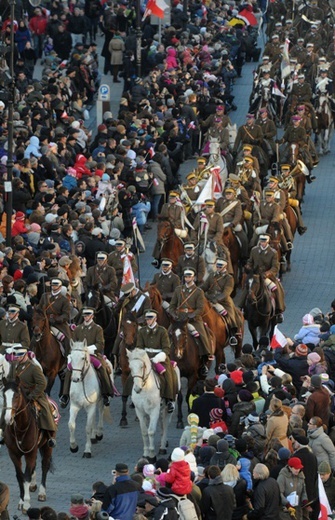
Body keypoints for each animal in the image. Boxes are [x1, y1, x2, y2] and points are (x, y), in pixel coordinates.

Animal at [3, 378, 53, 512]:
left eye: (16, 395)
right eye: (3, 395)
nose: (8, 418)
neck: (20, 428)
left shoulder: (30, 452)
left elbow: (26, 476)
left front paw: (26, 503)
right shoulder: (14, 454)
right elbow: (20, 476)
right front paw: (21, 501)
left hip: (47, 446)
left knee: (44, 466)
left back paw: (42, 493)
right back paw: (33, 485)